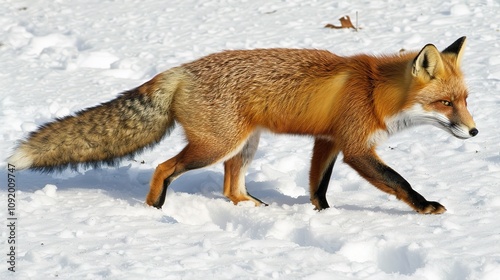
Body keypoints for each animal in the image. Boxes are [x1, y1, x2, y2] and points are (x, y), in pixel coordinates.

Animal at [8, 37, 476, 214]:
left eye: (466, 100)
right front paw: (425, 207)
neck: (375, 90)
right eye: (445, 103)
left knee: (231, 188)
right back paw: (154, 210)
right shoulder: (356, 146)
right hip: (217, 145)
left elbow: (318, 186)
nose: (474, 132)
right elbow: (399, 181)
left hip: (244, 146)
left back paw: (252, 205)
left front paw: (322, 215)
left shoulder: (328, 140)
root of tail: (180, 70)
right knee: (164, 167)